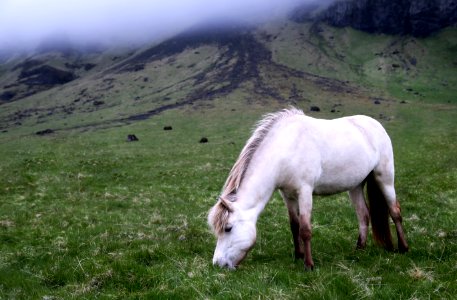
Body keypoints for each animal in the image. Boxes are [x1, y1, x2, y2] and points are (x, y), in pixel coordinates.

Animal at [208, 108, 408, 270]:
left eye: (228, 228)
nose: (218, 264)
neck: (286, 149)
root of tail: (375, 124)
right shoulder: (287, 195)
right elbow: (294, 225)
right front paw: (298, 256)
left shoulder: (304, 192)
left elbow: (305, 229)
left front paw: (309, 265)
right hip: (356, 186)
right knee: (363, 215)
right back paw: (359, 249)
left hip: (385, 178)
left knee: (395, 211)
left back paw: (404, 248)